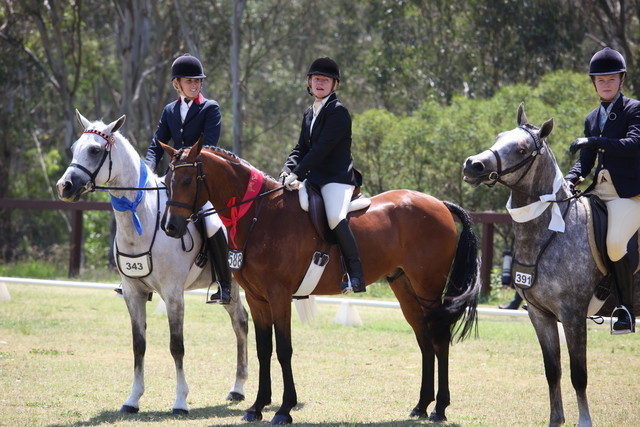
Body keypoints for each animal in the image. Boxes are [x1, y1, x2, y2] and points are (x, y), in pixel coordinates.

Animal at [55, 111, 250, 415]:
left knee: (243, 322)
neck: (142, 221)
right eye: (75, 147)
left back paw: (241, 389)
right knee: (241, 322)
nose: (64, 187)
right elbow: (139, 345)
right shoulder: (133, 293)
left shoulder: (173, 294)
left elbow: (176, 346)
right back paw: (237, 389)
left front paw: (180, 402)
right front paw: (132, 399)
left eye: (95, 150)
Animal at [157, 137, 480, 424]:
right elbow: (263, 350)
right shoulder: (257, 298)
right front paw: (257, 407)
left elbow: (283, 350)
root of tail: (439, 204)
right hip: (404, 286)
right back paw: (421, 407)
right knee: (424, 339)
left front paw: (283, 410)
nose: (170, 227)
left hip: (428, 286)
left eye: (187, 180)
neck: (259, 215)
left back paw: (439, 409)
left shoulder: (278, 295)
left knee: (439, 338)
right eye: (167, 180)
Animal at [462, 103, 640, 427]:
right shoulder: (539, 314)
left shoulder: (572, 314)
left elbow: (578, 374)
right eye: (499, 136)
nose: (473, 165)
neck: (549, 232)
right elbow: (552, 370)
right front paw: (556, 420)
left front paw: (585, 421)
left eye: (521, 149)